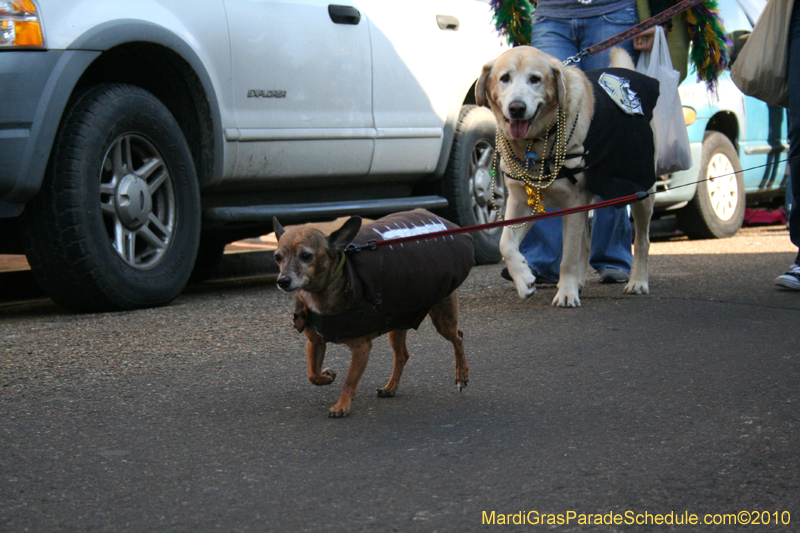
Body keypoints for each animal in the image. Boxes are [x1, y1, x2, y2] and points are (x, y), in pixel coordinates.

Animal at [276, 210, 476, 418]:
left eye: (306, 256)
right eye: (277, 257)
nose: (282, 281)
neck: (323, 294)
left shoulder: (361, 349)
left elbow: (349, 382)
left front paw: (341, 406)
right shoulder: (315, 342)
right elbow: (312, 374)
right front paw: (327, 376)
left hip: (443, 318)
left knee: (458, 337)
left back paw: (462, 375)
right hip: (397, 323)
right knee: (402, 356)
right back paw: (391, 387)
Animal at [476, 46, 656, 308]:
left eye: (535, 79)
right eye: (504, 78)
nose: (517, 108)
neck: (536, 142)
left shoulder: (573, 201)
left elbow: (568, 256)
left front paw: (567, 293)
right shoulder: (522, 201)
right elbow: (505, 244)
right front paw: (524, 279)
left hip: (640, 190)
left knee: (642, 241)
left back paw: (638, 281)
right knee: (586, 244)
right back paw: (579, 282)